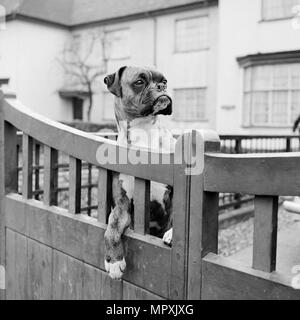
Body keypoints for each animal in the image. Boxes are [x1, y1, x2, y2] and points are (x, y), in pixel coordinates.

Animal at [102, 66, 176, 278]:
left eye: (164, 81)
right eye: (139, 82)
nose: (161, 87)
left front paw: (172, 233)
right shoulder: (122, 204)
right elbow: (112, 227)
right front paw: (113, 261)